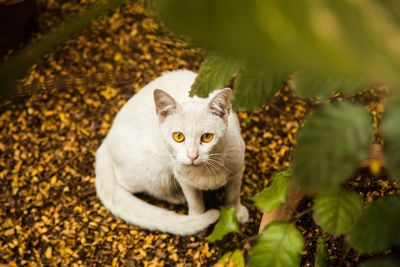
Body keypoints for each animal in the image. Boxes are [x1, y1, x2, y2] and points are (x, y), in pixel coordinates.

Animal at [95, 70, 248, 236]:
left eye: (207, 137)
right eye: (178, 136)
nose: (192, 155)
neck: (205, 172)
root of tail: (107, 137)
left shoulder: (237, 171)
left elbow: (233, 196)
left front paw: (236, 214)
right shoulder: (184, 180)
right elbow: (195, 203)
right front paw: (198, 223)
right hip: (155, 170)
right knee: (134, 185)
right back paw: (176, 197)